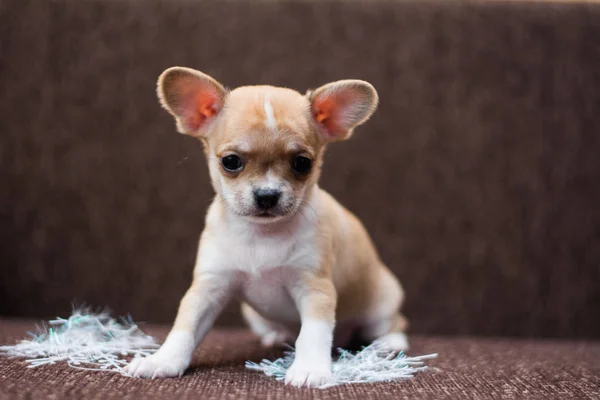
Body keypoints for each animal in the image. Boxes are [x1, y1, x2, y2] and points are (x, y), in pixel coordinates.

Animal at [126, 67, 408, 386]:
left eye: (302, 163)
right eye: (231, 162)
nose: (267, 194)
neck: (261, 235)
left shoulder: (315, 289)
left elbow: (313, 334)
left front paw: (310, 368)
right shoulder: (208, 289)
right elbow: (184, 328)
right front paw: (162, 360)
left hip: (382, 300)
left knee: (390, 323)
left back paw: (390, 343)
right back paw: (277, 335)